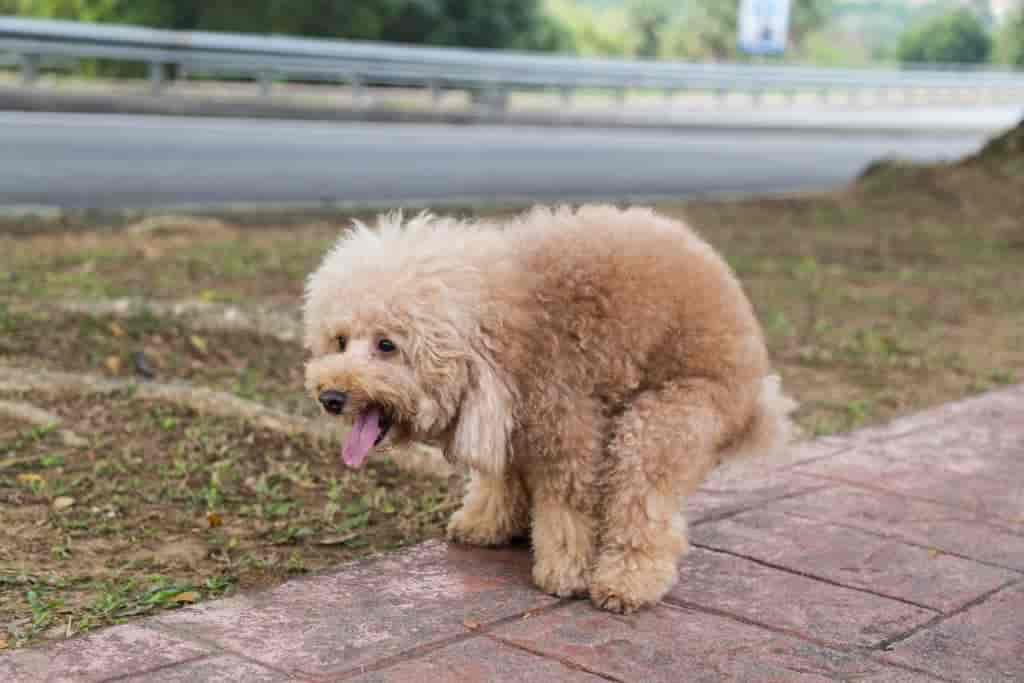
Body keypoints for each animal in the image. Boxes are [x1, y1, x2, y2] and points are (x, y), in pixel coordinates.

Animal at [299, 204, 794, 614]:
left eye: (387, 345)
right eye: (340, 341)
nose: (331, 397)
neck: (495, 322)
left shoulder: (566, 427)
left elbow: (567, 507)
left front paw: (565, 573)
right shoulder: (509, 425)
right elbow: (500, 480)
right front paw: (486, 524)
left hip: (668, 417)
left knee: (642, 502)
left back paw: (625, 582)